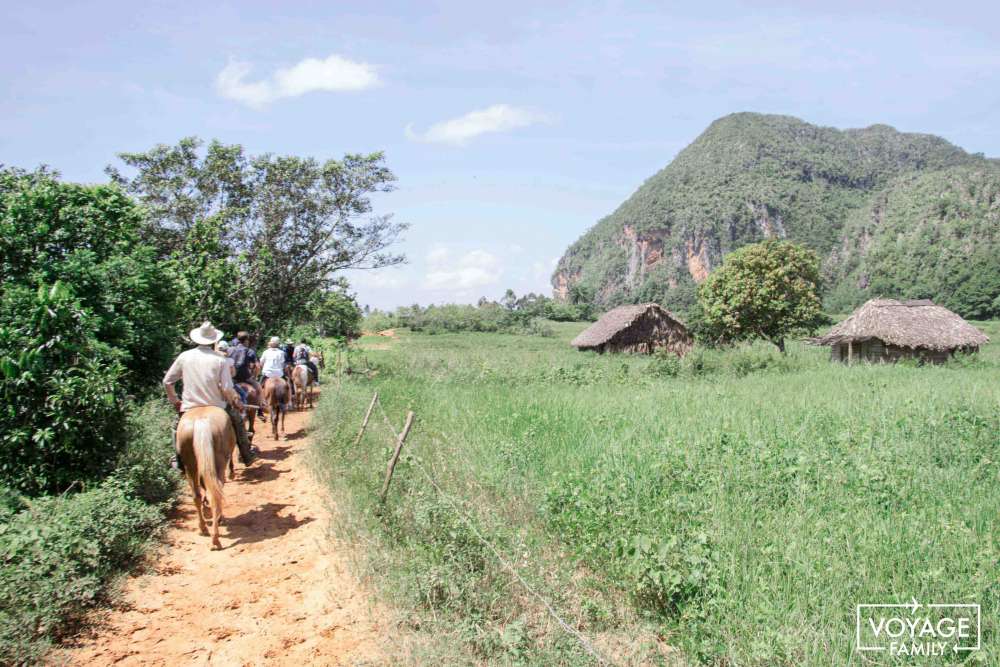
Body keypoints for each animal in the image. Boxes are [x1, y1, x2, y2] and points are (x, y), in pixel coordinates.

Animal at [177, 410, 235, 552]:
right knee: (215, 496)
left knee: (196, 496)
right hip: (219, 461)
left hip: (190, 464)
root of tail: (201, 421)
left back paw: (203, 528)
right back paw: (216, 538)